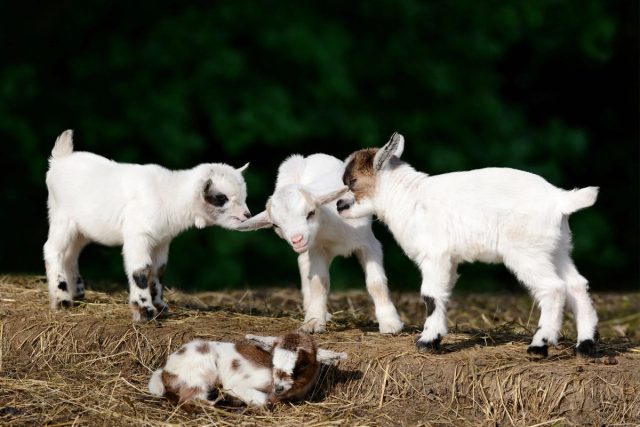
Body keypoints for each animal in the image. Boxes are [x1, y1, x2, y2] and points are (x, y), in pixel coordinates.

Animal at [43, 130, 250, 320]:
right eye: (221, 198)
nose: (247, 215)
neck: (169, 195)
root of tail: (60, 158)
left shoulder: (162, 241)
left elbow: (158, 272)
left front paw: (160, 307)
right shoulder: (138, 236)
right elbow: (141, 271)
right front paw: (144, 310)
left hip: (81, 230)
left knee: (70, 254)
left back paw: (76, 293)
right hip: (62, 218)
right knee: (52, 250)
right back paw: (62, 299)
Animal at [148, 332, 348, 408]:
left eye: (300, 366)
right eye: (274, 361)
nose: (279, 387)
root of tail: (165, 370)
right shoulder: (238, 384)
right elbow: (263, 400)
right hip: (200, 373)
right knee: (190, 398)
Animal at [340, 133, 600, 358]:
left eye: (353, 182)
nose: (339, 206)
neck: (409, 197)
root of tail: (559, 199)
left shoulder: (434, 255)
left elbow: (430, 295)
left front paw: (427, 341)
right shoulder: (449, 260)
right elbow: (443, 294)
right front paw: (436, 338)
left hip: (527, 252)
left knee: (553, 288)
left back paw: (539, 346)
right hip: (557, 249)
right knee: (576, 285)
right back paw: (585, 345)